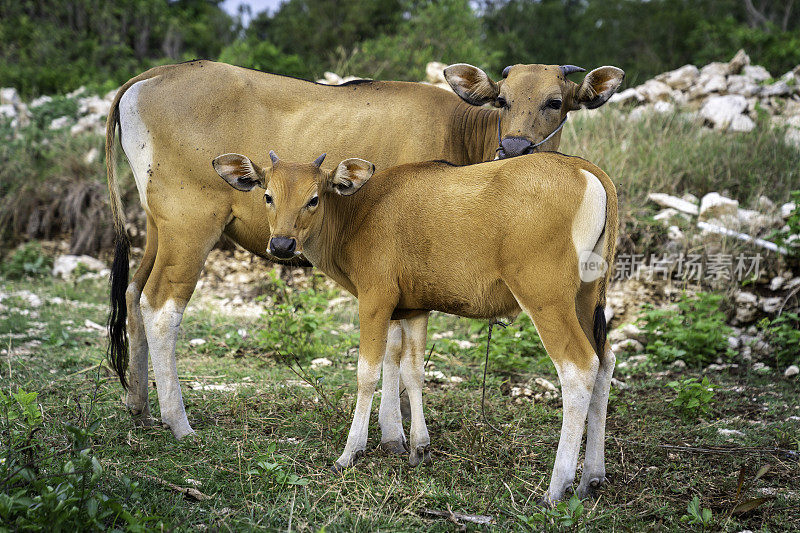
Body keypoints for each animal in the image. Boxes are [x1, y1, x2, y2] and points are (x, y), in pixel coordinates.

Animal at [103, 59, 620, 440]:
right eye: (503, 99)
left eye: (556, 102)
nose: (514, 149)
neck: (459, 130)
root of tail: (154, 74)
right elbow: (391, 351)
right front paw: (392, 431)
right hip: (191, 225)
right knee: (161, 306)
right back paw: (178, 421)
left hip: (158, 226)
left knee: (133, 293)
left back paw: (139, 405)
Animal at [212, 150, 620, 502]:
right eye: (268, 195)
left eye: (313, 198)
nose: (282, 244)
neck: (356, 214)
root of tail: (586, 169)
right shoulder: (413, 309)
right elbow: (412, 371)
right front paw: (418, 446)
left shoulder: (375, 298)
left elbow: (367, 372)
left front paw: (351, 451)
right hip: (586, 297)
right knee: (605, 362)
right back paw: (592, 476)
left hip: (544, 295)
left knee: (579, 367)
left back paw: (558, 485)